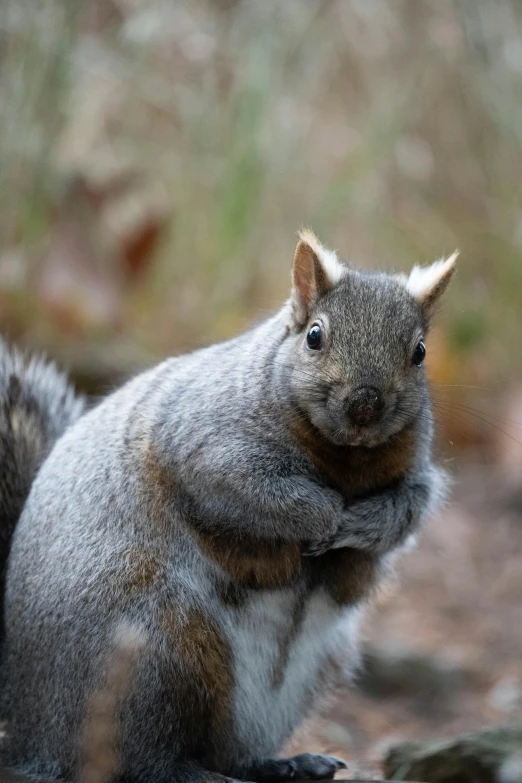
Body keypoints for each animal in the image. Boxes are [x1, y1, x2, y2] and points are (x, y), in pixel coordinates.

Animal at [0, 231, 452, 783]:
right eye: (315, 336)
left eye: (420, 352)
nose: (365, 405)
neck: (343, 459)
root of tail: (31, 730)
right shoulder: (206, 447)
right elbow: (259, 491)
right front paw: (326, 514)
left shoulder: (417, 476)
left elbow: (406, 512)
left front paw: (360, 524)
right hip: (153, 655)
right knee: (139, 759)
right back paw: (193, 772)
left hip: (299, 676)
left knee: (227, 750)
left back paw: (288, 763)